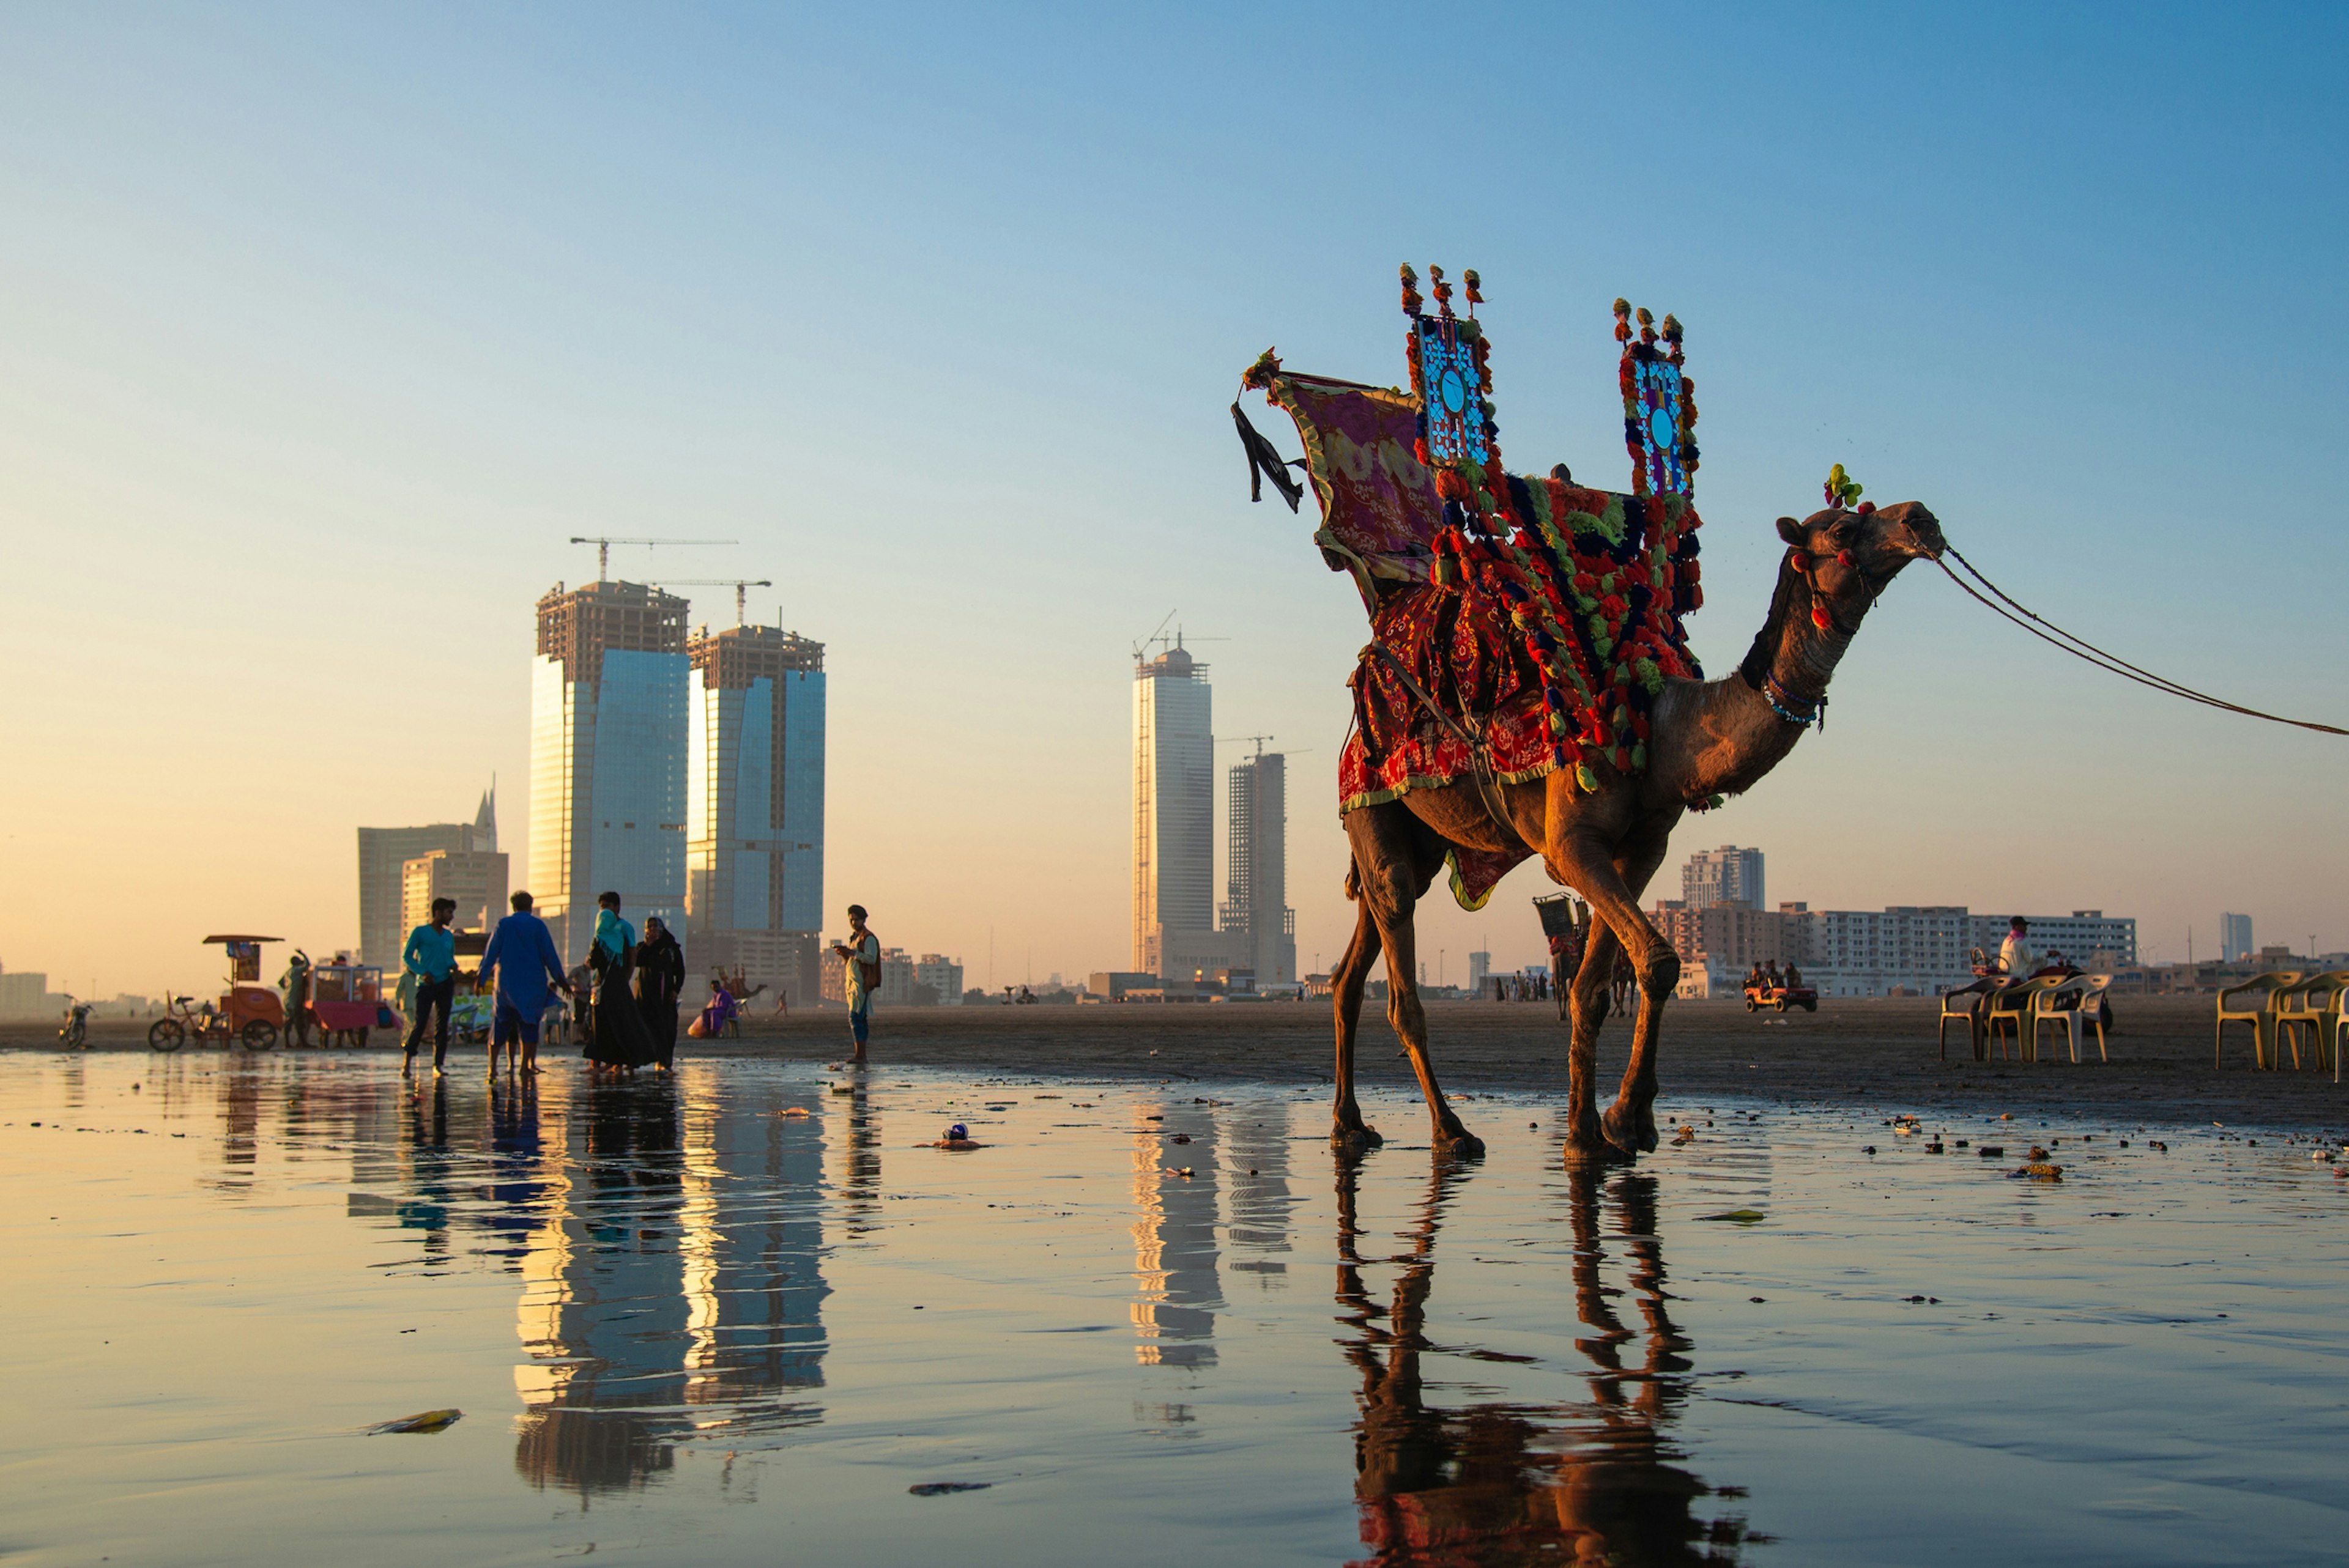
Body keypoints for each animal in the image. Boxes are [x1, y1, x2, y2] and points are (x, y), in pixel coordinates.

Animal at [1343, 495, 1945, 1159]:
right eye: (1842, 527)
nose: (1921, 518)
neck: (1660, 726)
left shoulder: (1642, 848)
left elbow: (1602, 984)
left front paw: (1599, 1127)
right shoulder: (1571, 845)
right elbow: (1657, 961)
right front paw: (1618, 1122)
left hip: (1418, 842)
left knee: (1355, 965)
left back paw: (1351, 1124)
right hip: (1371, 803)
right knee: (1399, 975)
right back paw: (1450, 1131)